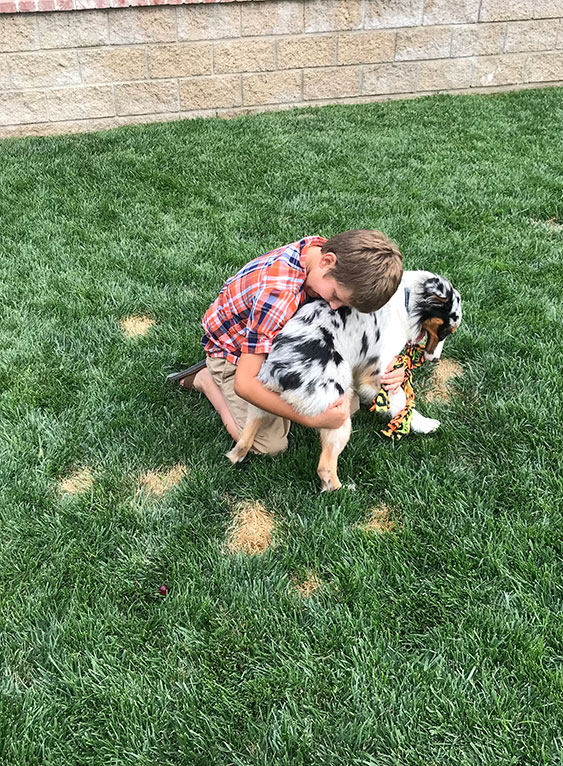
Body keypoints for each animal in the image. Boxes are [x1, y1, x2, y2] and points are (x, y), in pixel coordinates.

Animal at [228, 272, 462, 492]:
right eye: (446, 330)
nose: (436, 359)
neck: (406, 300)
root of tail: (282, 374)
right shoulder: (378, 371)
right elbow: (402, 402)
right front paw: (424, 424)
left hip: (260, 402)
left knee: (245, 436)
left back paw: (235, 456)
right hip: (338, 412)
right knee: (325, 467)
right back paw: (346, 491)